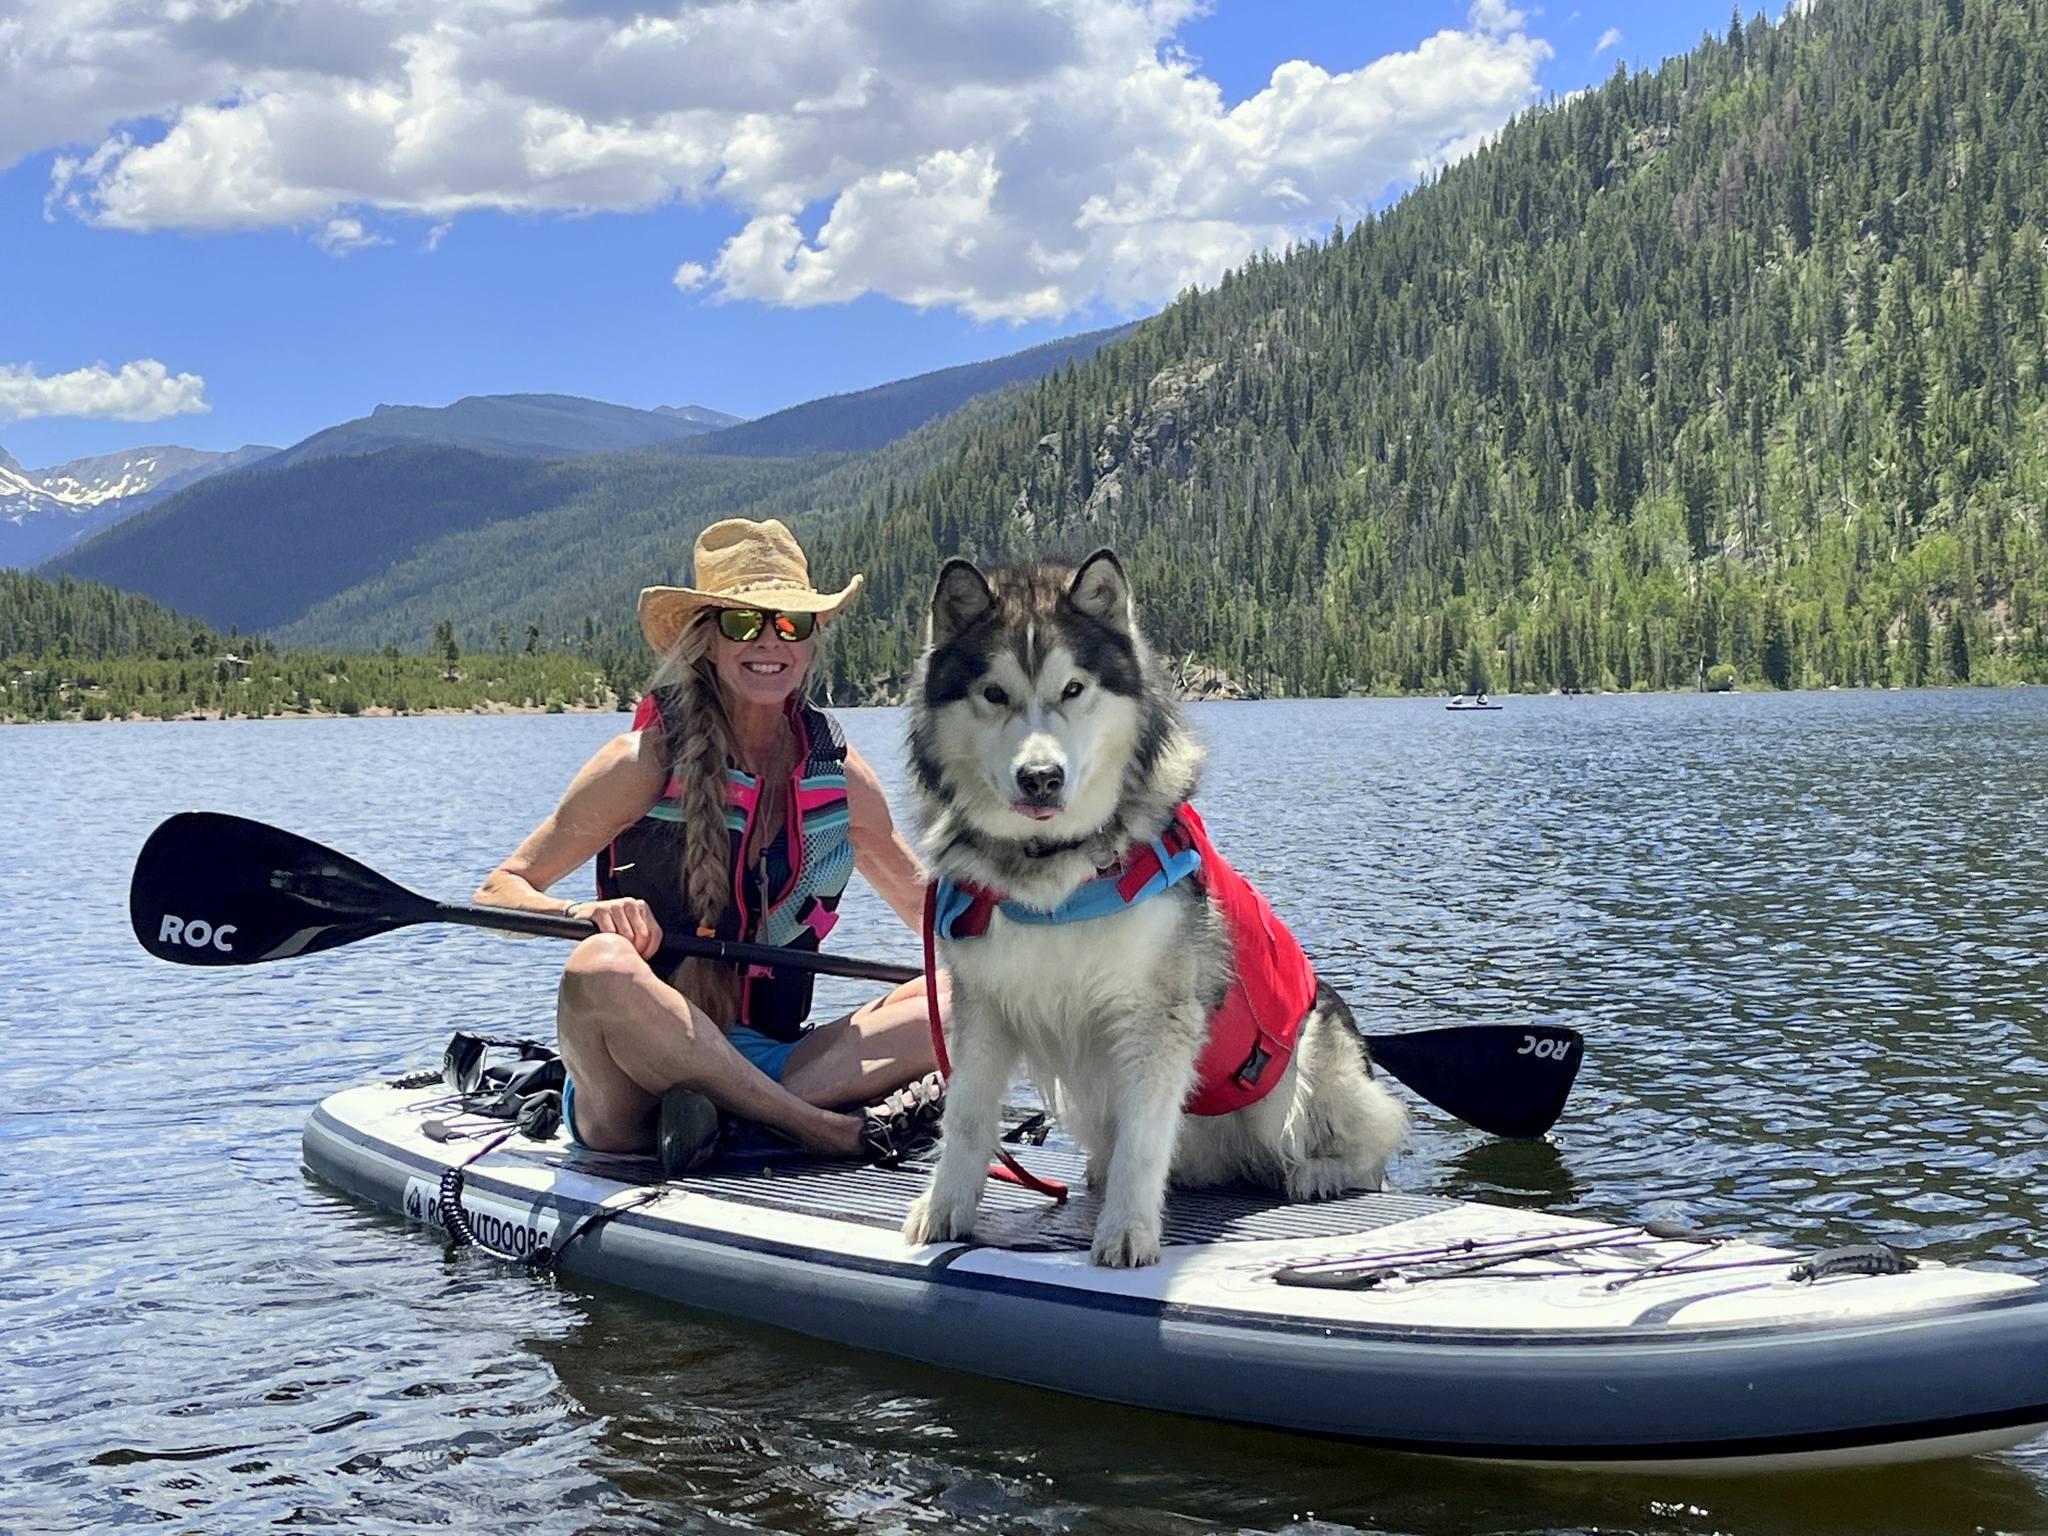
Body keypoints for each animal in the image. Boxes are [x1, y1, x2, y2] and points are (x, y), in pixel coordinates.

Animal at [900, 550, 1407, 1267]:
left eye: (1074, 689)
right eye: (994, 694)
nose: (1041, 778)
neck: (1054, 875)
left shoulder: (1155, 1015)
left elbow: (1143, 1136)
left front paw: (1128, 1230)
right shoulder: (985, 1006)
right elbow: (968, 1117)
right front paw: (943, 1208)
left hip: (1310, 1061)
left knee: (1369, 1141)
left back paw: (1320, 1173)